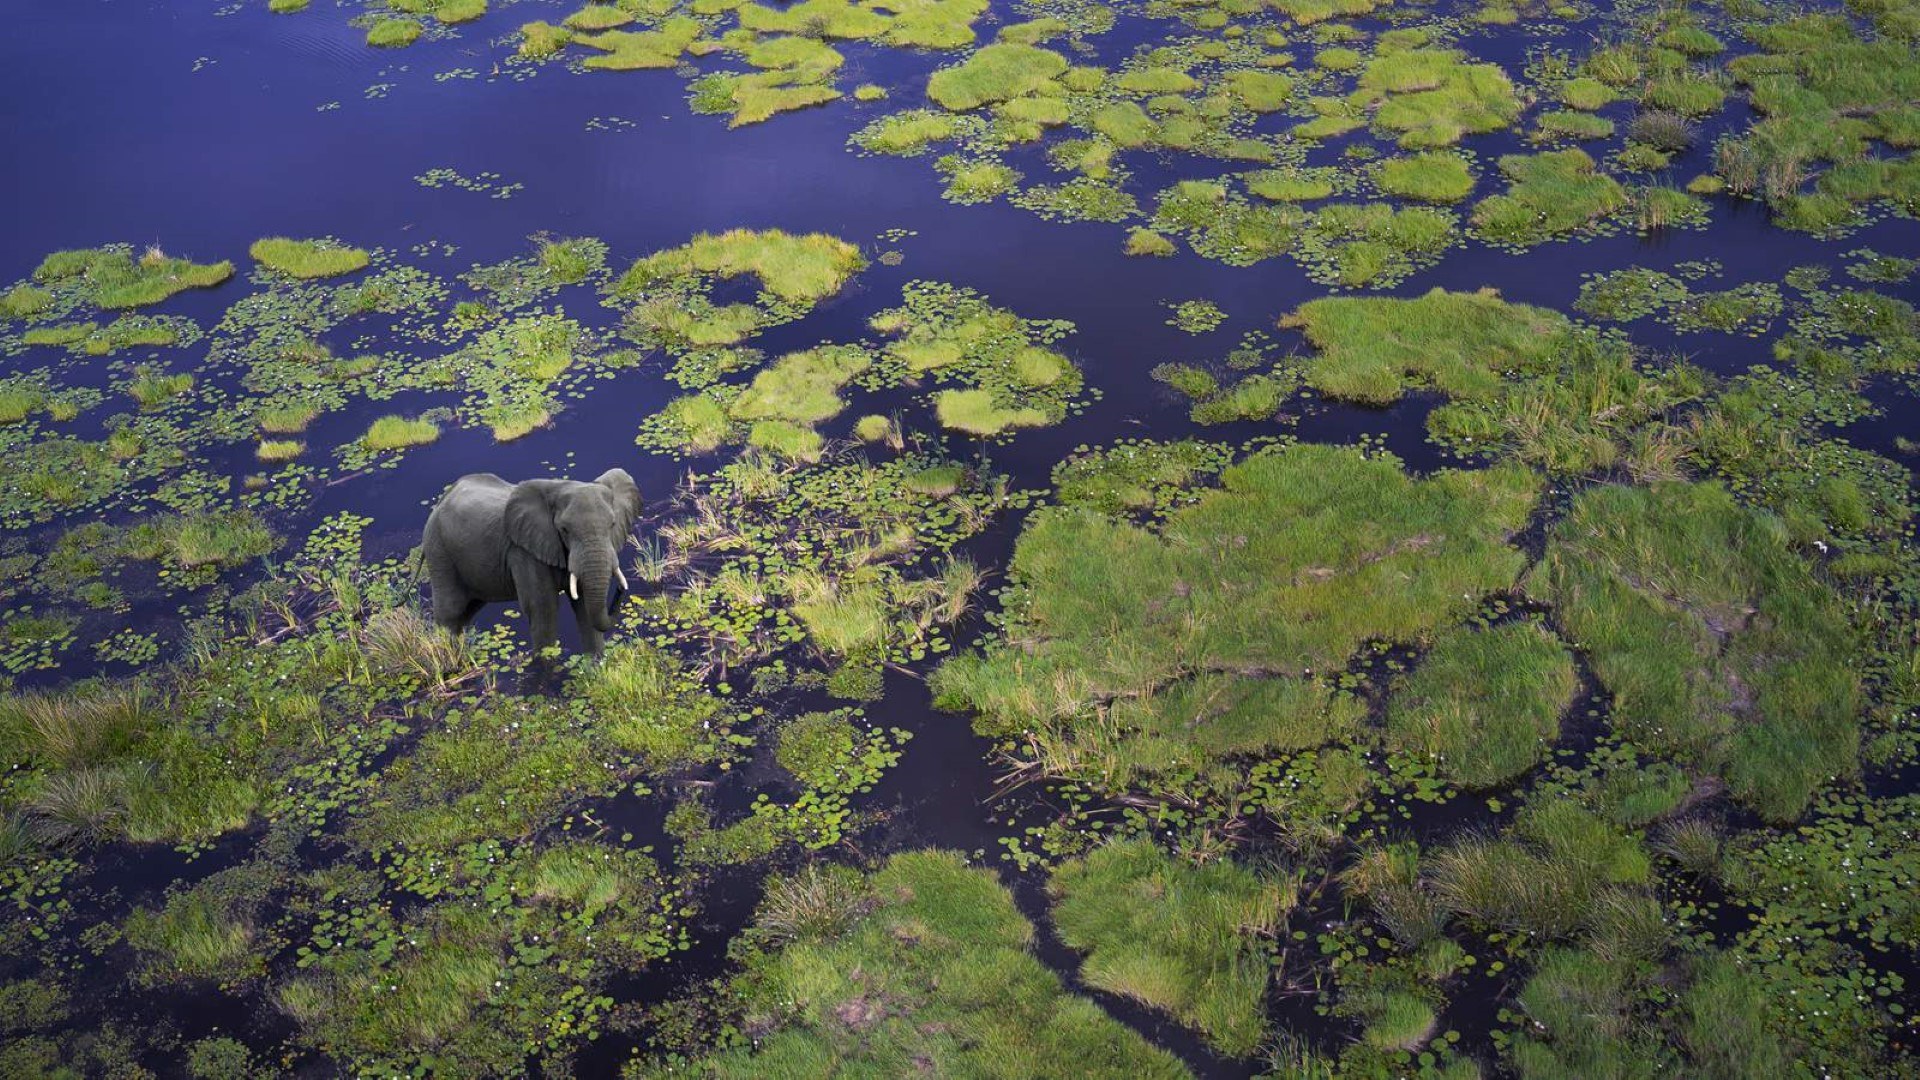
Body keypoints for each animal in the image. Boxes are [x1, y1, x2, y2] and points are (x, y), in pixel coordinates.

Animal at [422, 465, 645, 657]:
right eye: (564, 529)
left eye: (613, 524)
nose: (622, 589)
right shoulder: (523, 551)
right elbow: (543, 607)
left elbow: (583, 605)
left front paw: (596, 662)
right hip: (439, 550)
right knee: (450, 612)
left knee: (466, 613)